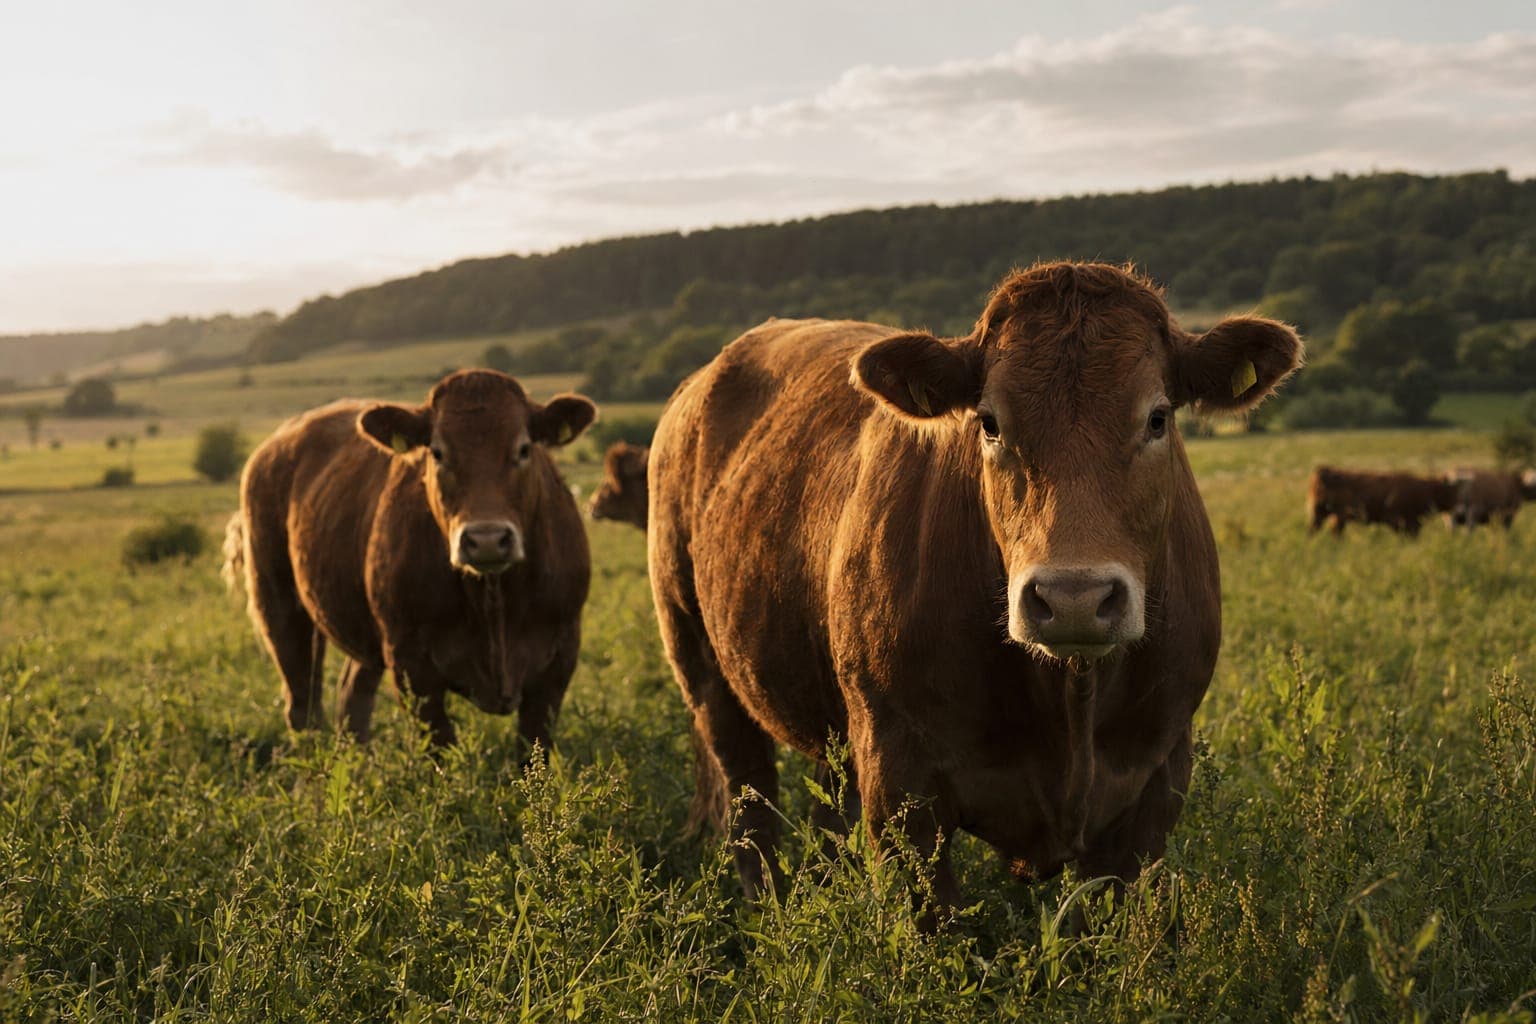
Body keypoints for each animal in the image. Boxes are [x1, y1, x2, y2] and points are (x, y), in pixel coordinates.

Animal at [225, 369, 596, 749]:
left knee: (352, 696)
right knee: (303, 705)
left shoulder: (559, 661)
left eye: (523, 449)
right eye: (438, 452)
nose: (487, 540)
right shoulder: (411, 665)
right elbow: (441, 744)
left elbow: (533, 746)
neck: (493, 600)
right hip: (277, 602)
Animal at [647, 261, 1302, 919]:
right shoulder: (899, 783)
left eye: (1158, 417)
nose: (1074, 599)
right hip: (703, 665)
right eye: (989, 422)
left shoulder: (1154, 784)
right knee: (750, 809)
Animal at [1307, 467, 1459, 536]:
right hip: (1335, 516)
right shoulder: (1401, 522)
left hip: (1322, 514)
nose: (1458, 510)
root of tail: (1325, 471)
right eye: (1450, 493)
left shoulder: (1413, 524)